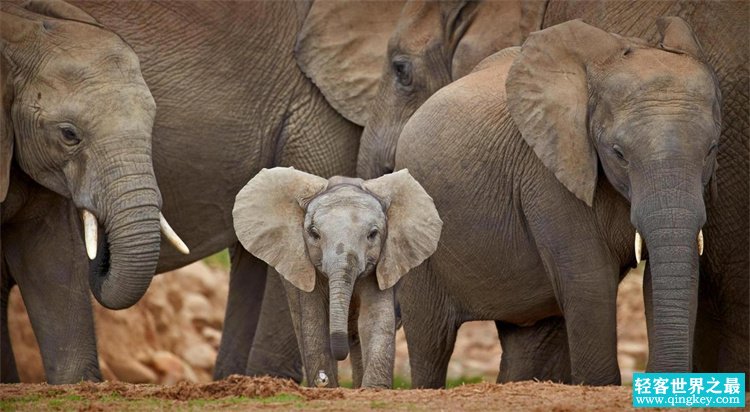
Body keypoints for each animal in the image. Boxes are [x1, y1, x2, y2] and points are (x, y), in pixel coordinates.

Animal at [235, 167, 444, 386]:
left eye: (373, 234)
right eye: (314, 234)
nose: (322, 378)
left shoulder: (380, 264)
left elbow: (374, 319)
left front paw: (373, 389)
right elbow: (315, 322)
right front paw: (325, 386)